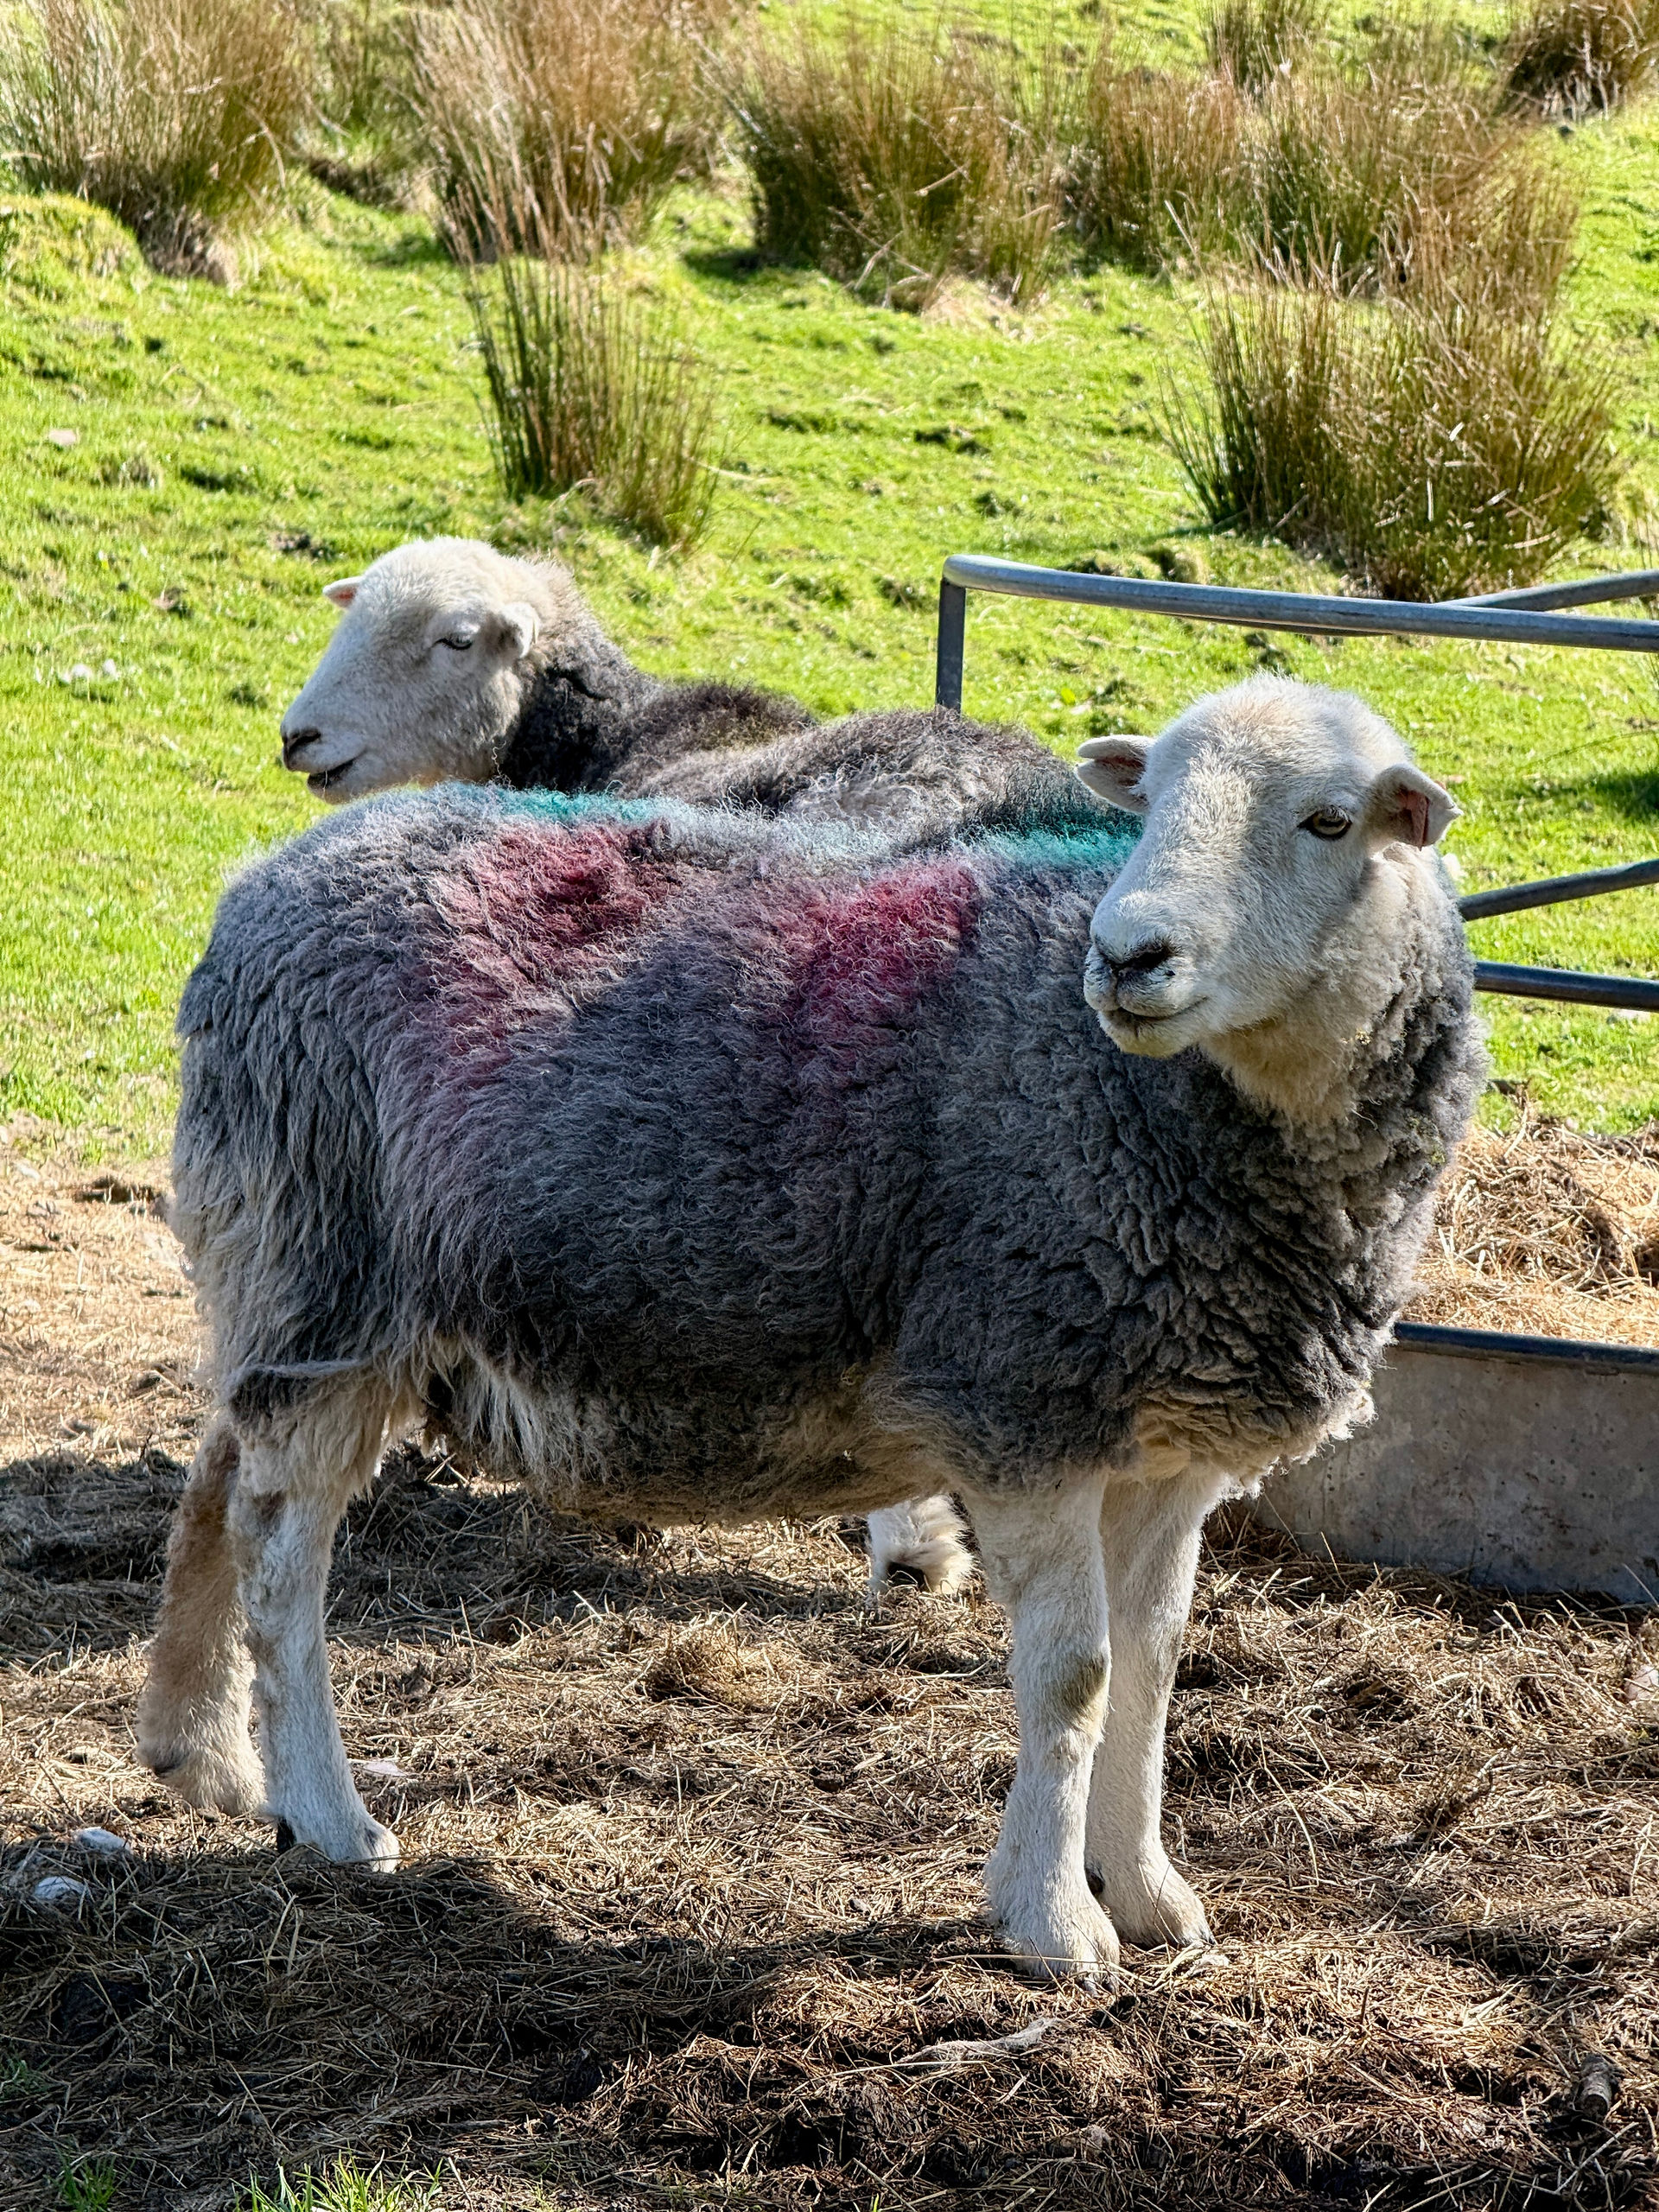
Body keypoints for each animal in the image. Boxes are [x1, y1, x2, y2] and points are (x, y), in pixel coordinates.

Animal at [137, 676, 1482, 1982]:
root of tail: (264, 879)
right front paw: (1055, 1925)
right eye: (1145, 802)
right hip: (331, 1255)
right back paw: (325, 1813)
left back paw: (200, 1755)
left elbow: (1151, 1667)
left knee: (215, 1470)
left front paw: (1150, 1894)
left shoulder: (1170, 1444)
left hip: (278, 1272)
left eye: (1329, 822)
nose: (1128, 954)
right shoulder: (1021, 1396)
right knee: (281, 1544)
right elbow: (1076, 1676)